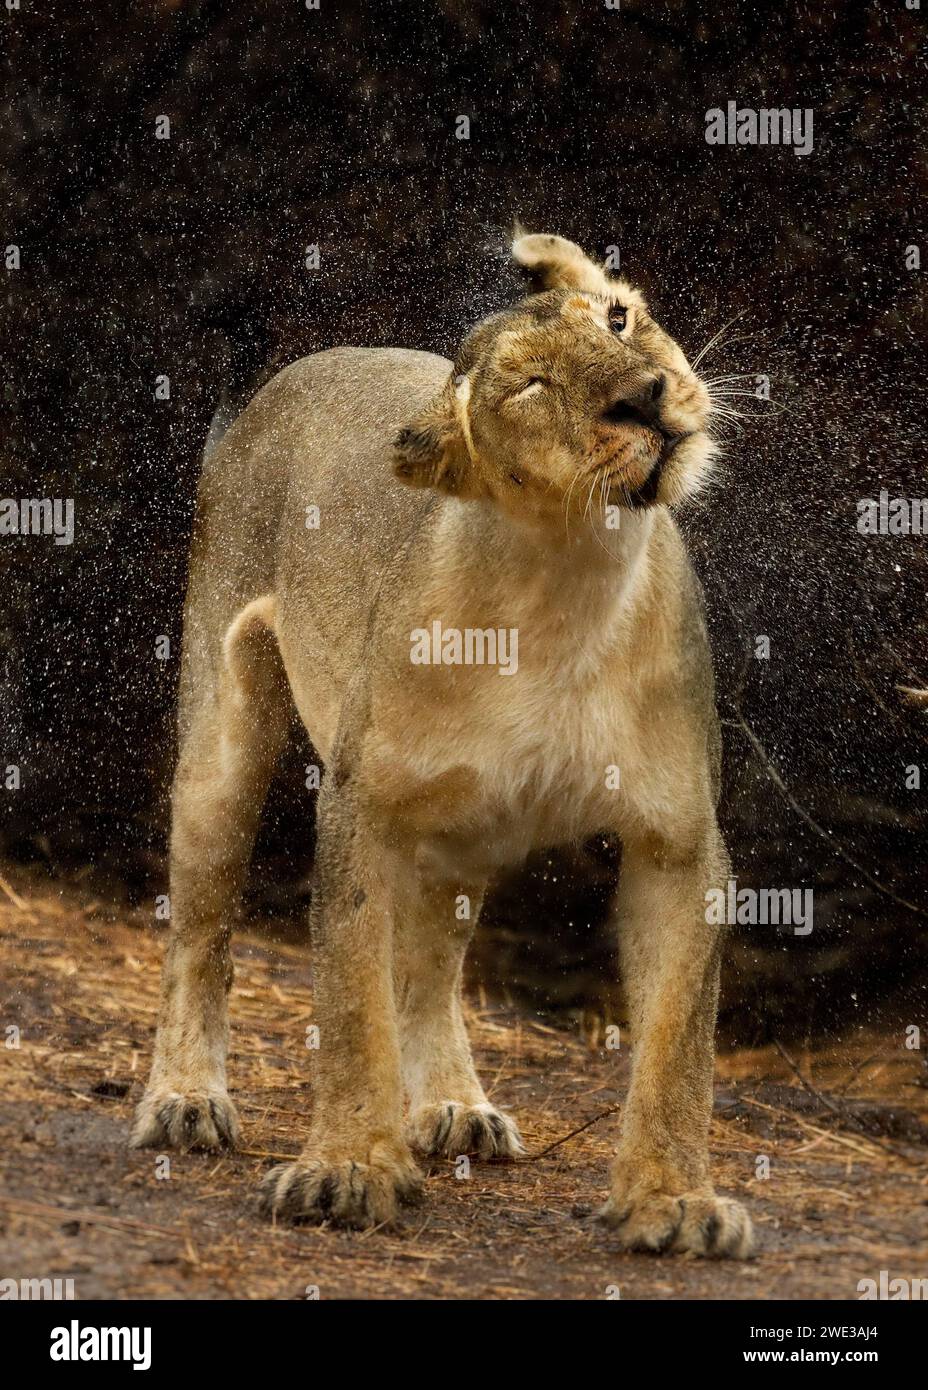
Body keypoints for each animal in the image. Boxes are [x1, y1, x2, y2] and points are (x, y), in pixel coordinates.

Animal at [131, 232, 753, 1258]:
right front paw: (348, 1168)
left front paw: (674, 1200)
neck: (568, 582)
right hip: (220, 742)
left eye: (617, 318)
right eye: (533, 385)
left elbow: (679, 1044)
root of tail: (278, 382)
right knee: (202, 932)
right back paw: (184, 1097)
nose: (648, 393)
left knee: (431, 965)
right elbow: (350, 1004)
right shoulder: (361, 807)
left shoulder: (677, 840)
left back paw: (456, 1106)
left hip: (463, 831)